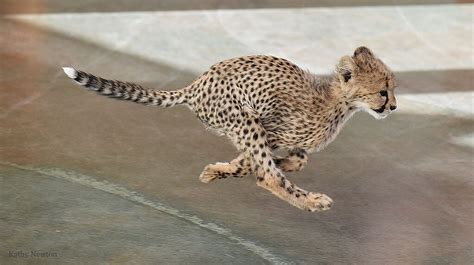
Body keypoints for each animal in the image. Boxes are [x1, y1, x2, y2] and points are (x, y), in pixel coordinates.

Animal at [63, 46, 396, 210]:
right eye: (383, 91)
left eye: (392, 89)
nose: (393, 107)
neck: (337, 102)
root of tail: (195, 86)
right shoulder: (269, 129)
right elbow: (265, 165)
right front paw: (240, 168)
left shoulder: (277, 138)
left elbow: (297, 158)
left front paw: (224, 169)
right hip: (244, 118)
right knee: (268, 179)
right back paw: (312, 201)